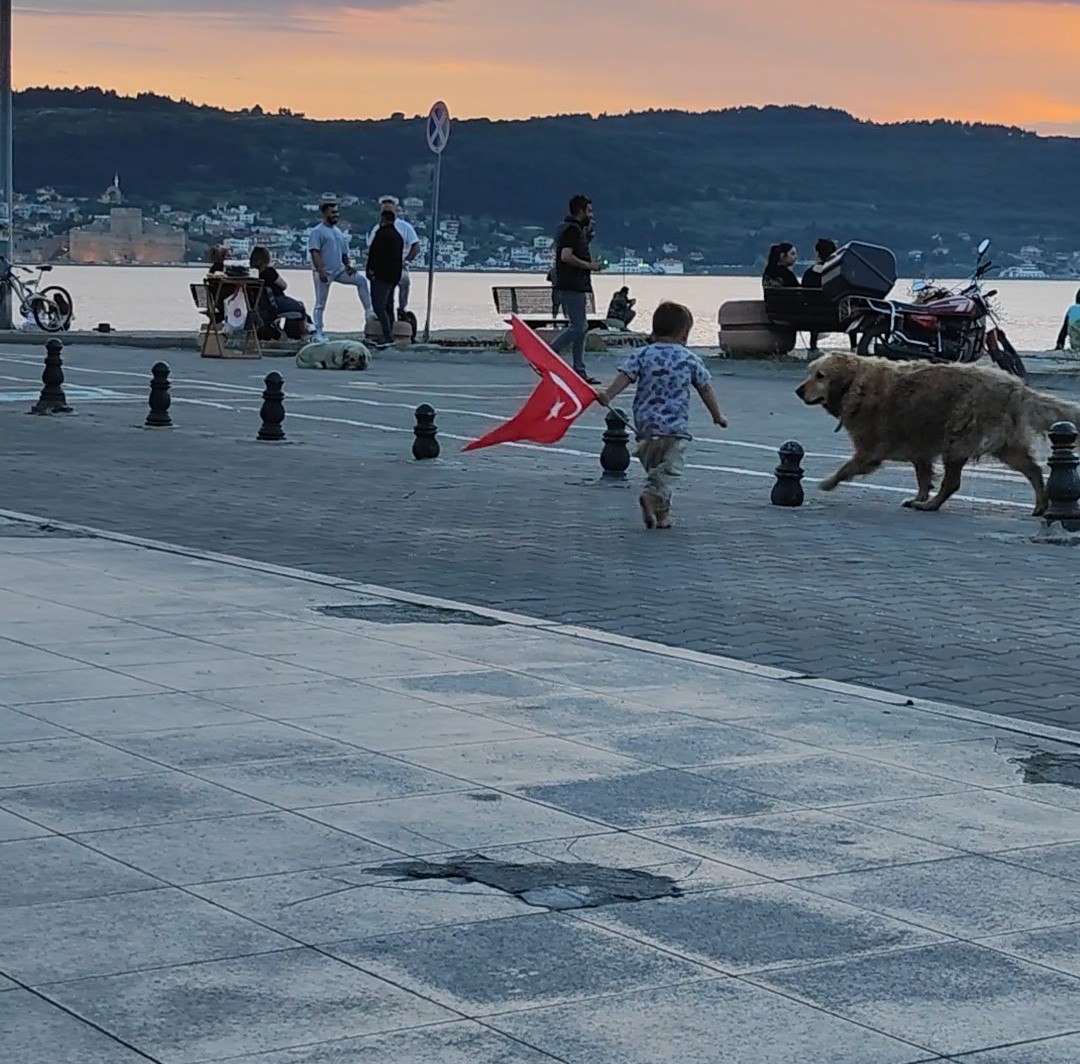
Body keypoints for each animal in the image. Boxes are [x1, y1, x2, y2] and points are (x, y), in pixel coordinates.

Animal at [794, 349, 1080, 512]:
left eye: (820, 376)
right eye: (809, 373)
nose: (798, 390)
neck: (855, 384)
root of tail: (1015, 386)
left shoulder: (870, 449)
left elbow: (847, 467)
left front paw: (828, 482)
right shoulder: (918, 444)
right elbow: (922, 475)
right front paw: (919, 494)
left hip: (959, 438)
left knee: (952, 482)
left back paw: (931, 505)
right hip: (1004, 445)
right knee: (1033, 469)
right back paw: (1041, 504)